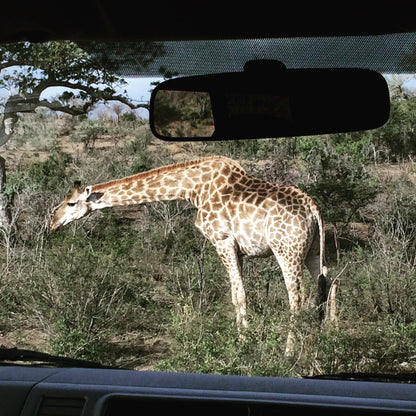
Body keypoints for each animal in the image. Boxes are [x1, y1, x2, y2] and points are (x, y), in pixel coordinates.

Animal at [50, 156, 334, 352]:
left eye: (71, 203)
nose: (52, 222)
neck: (194, 189)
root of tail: (313, 209)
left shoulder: (223, 241)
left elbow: (238, 295)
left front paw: (242, 343)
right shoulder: (237, 249)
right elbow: (239, 293)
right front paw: (244, 337)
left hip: (285, 249)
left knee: (297, 297)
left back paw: (289, 353)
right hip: (312, 250)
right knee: (326, 286)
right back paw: (324, 343)